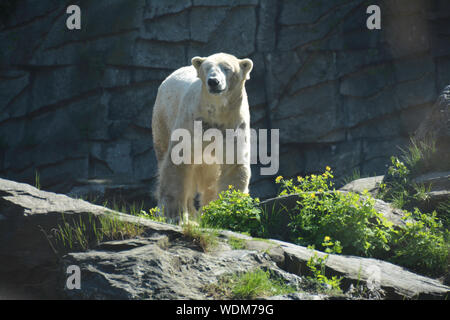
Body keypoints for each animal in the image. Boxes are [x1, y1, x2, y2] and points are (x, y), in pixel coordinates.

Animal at [152, 52, 253, 222]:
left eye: (227, 68)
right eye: (207, 68)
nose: (213, 81)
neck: (215, 114)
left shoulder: (233, 125)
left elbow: (233, 165)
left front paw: (227, 210)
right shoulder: (192, 123)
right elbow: (178, 160)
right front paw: (175, 216)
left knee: (210, 180)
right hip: (162, 119)